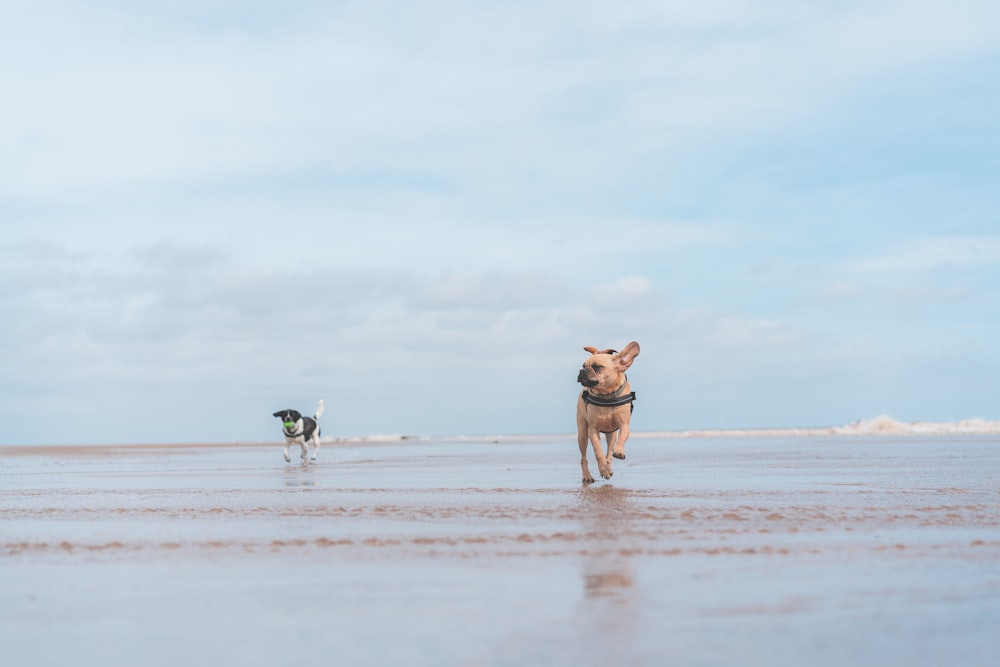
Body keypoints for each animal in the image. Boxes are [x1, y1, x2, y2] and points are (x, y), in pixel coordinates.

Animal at [580, 342, 640, 482]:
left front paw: (619, 452)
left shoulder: (624, 425)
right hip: (582, 433)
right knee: (583, 457)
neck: (606, 394)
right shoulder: (592, 430)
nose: (582, 370)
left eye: (597, 367)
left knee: (608, 452)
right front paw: (603, 469)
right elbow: (598, 451)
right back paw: (588, 476)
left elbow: (622, 438)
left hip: (611, 434)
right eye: (583, 365)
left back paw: (609, 464)